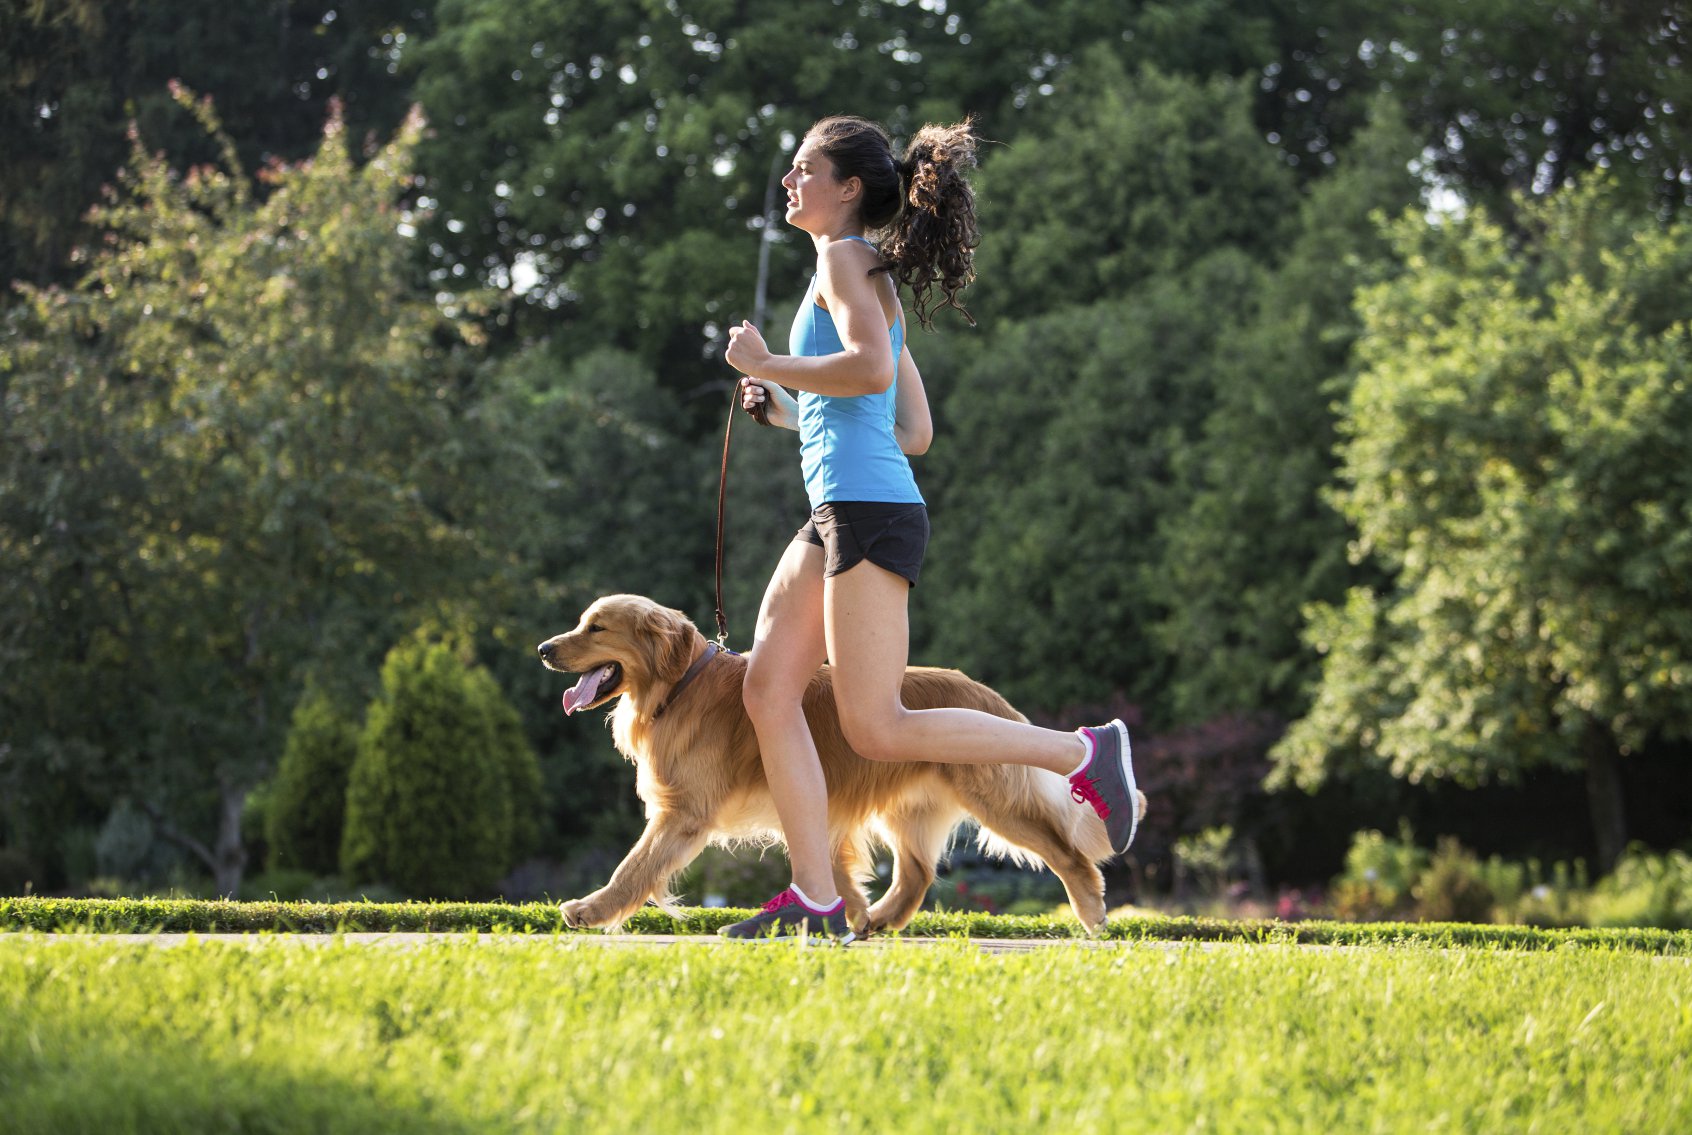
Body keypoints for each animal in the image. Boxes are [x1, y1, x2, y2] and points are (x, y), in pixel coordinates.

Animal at [534, 595, 1143, 933]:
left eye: (596, 627)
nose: (542, 648)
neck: (680, 685)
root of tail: (984, 695)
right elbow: (837, 870)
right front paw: (842, 915)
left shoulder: (685, 813)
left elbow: (634, 866)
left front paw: (592, 909)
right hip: (908, 806)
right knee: (916, 874)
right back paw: (879, 921)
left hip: (994, 797)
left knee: (1066, 853)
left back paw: (1092, 898)